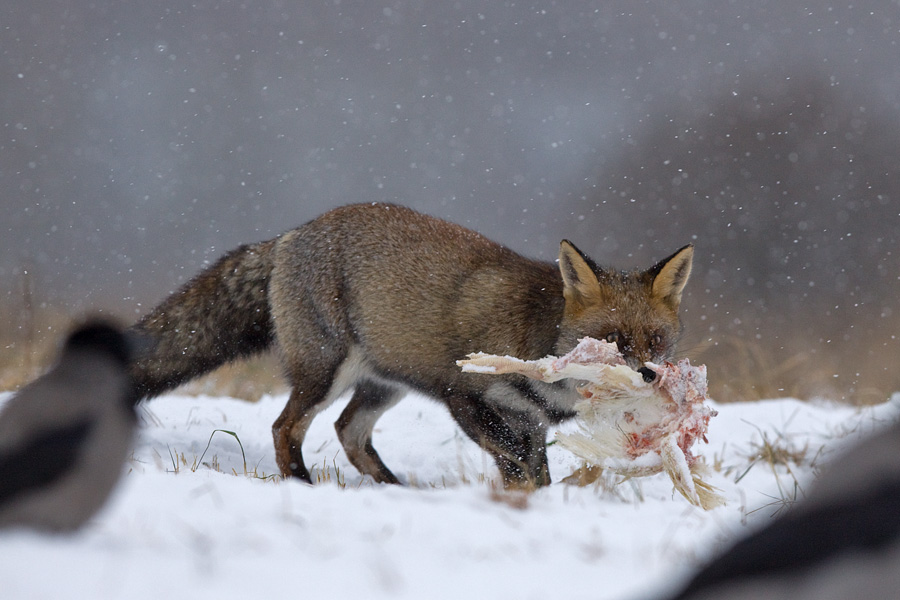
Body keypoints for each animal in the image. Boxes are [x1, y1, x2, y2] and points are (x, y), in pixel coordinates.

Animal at [130, 205, 692, 488]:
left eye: (656, 341)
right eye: (613, 341)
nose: (650, 376)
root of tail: (292, 233)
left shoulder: (529, 421)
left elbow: (536, 473)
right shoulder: (463, 397)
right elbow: (515, 467)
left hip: (384, 385)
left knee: (348, 432)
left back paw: (393, 489)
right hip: (325, 372)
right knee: (284, 427)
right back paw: (302, 485)